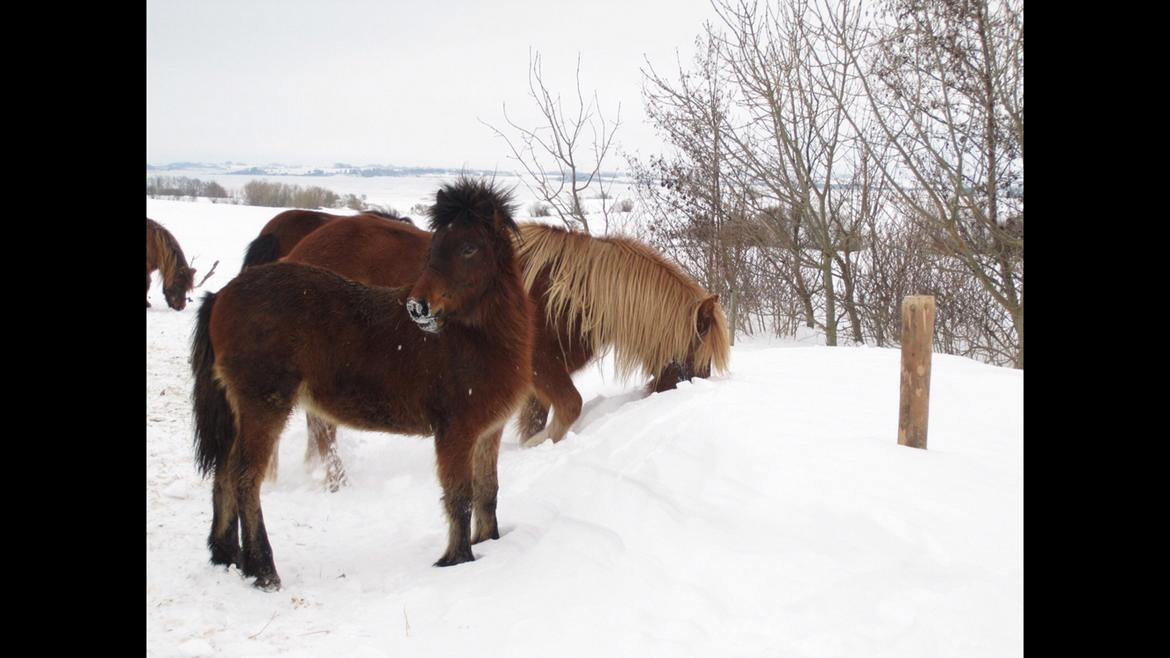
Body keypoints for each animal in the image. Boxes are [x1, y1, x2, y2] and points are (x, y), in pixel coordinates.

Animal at [276, 215, 730, 487]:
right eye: (696, 366)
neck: (566, 294)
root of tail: (298, 252)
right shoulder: (542, 368)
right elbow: (568, 408)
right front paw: (533, 450)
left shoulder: (534, 386)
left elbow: (536, 421)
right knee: (324, 429)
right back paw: (335, 481)